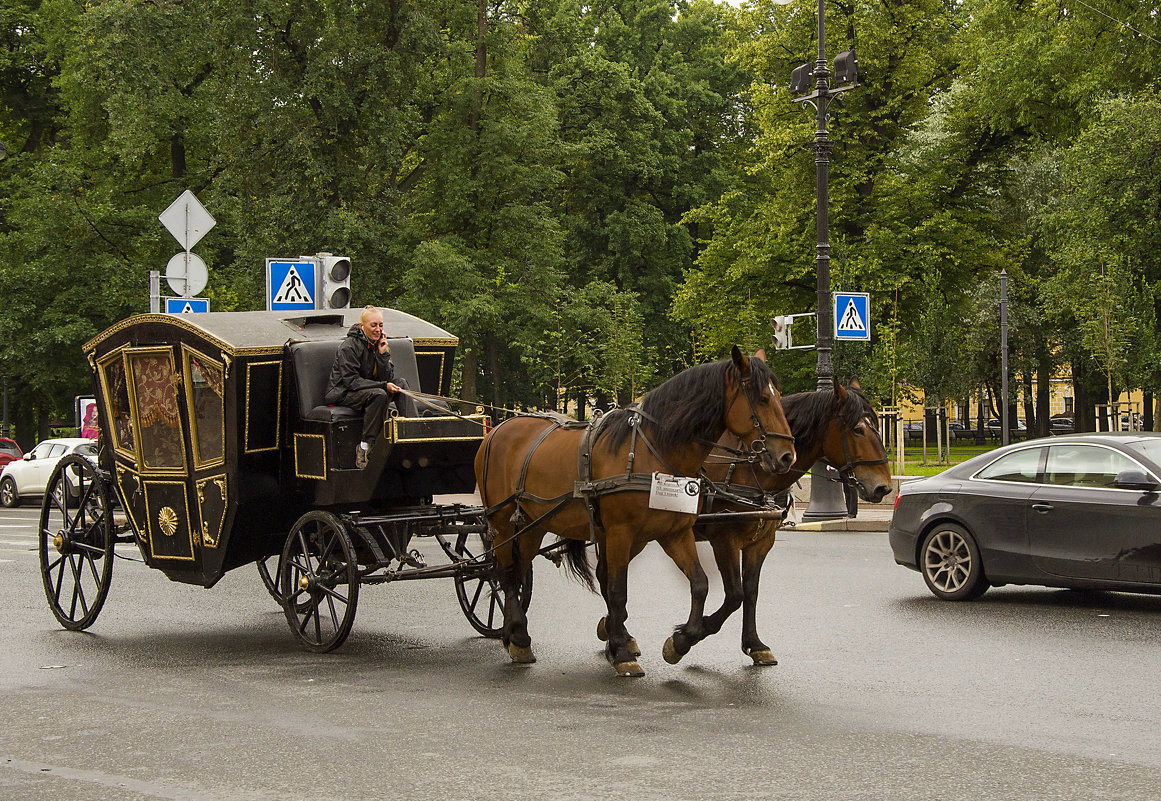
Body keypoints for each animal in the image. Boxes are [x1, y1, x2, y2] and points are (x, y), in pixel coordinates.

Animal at [476, 343, 794, 673]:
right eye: (763, 398)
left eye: (779, 397)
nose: (787, 456)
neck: (652, 451)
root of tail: (497, 429)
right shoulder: (621, 533)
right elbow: (618, 592)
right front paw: (621, 651)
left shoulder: (675, 533)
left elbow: (700, 584)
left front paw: (680, 641)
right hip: (503, 524)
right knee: (505, 573)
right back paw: (519, 637)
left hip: (531, 525)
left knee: (517, 570)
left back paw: (515, 634)